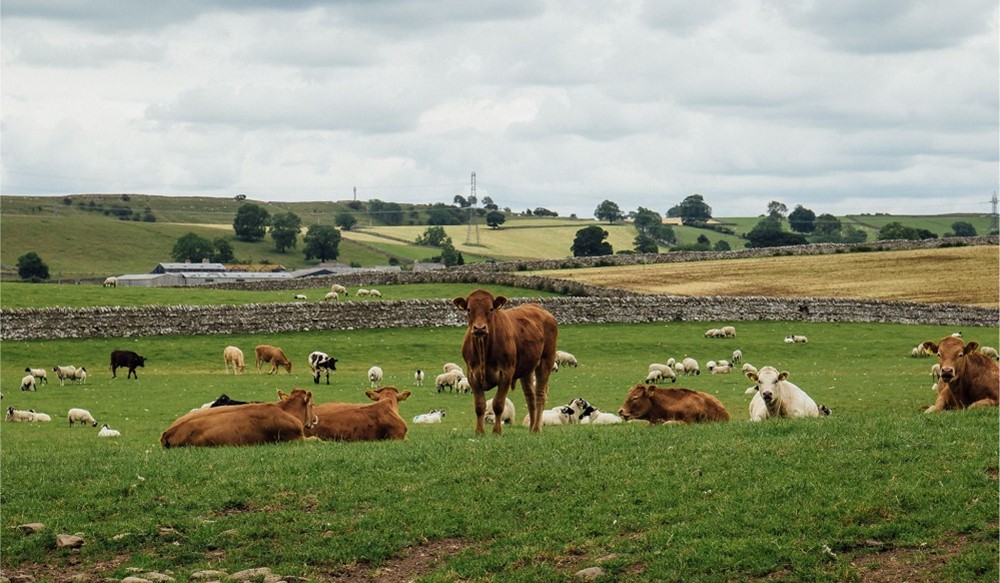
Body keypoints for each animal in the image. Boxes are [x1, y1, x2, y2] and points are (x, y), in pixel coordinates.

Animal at [453, 289, 559, 435]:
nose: (479, 328)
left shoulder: (506, 374)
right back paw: (531, 428)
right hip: (527, 369)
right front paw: (479, 431)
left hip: (546, 361)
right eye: (469, 309)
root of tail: (538, 308)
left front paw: (497, 431)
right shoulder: (472, 375)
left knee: (540, 395)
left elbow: (498, 404)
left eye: (490, 309)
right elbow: (479, 405)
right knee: (530, 396)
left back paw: (537, 428)